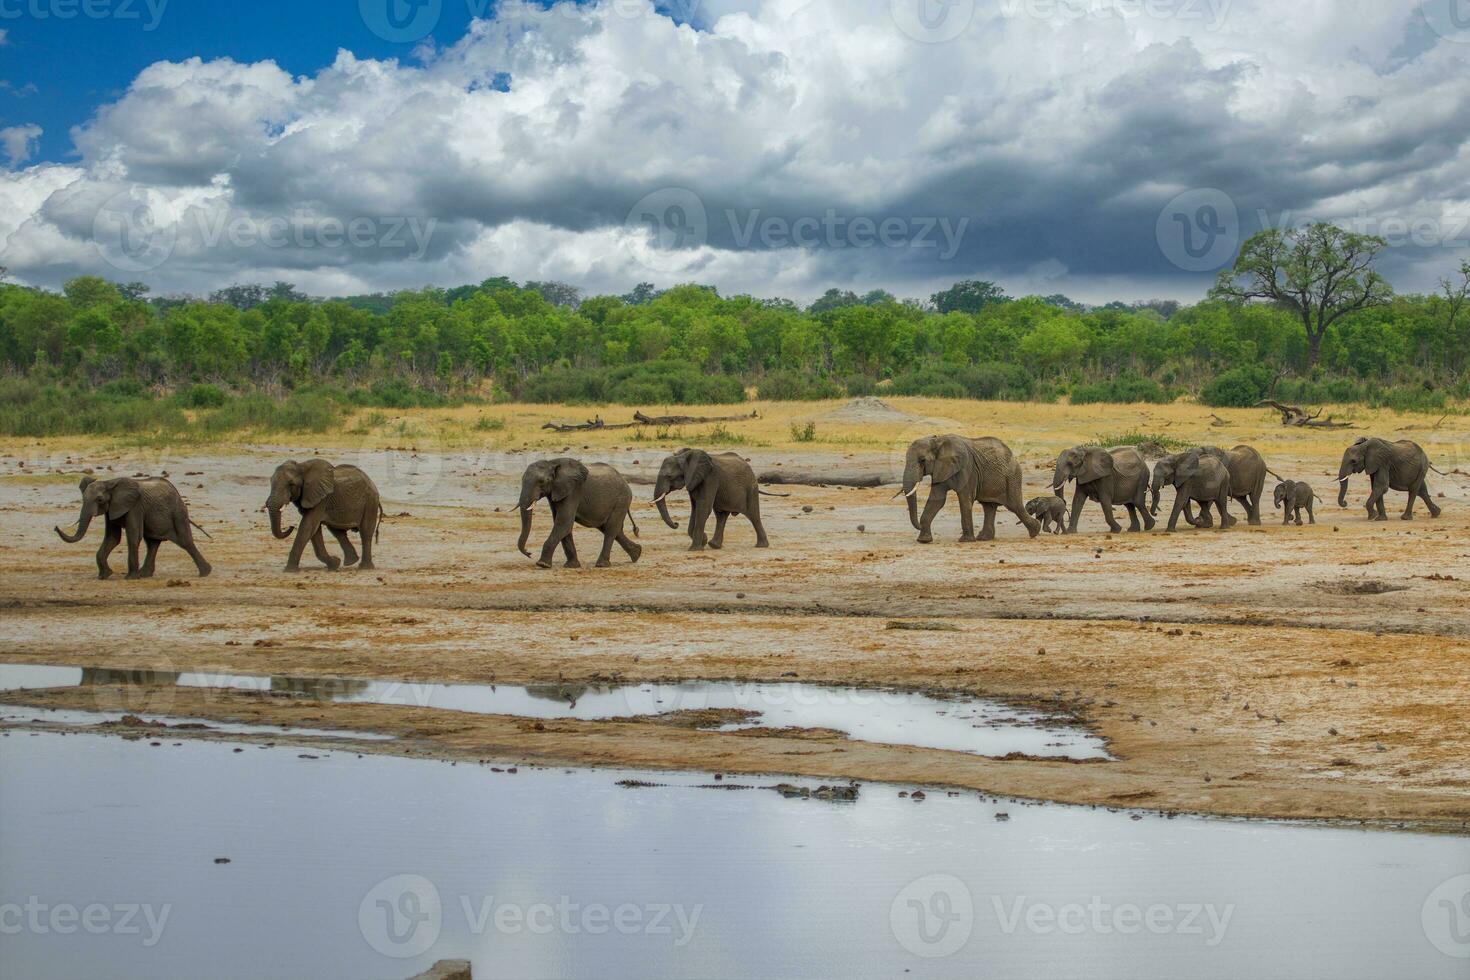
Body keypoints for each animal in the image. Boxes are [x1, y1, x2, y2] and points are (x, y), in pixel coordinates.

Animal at [893, 437, 1046, 543]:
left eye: (922, 460)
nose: (918, 525)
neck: (937, 441)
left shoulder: (967, 468)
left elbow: (965, 499)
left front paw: (965, 541)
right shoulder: (941, 469)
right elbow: (937, 500)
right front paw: (923, 541)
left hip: (1012, 477)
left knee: (1015, 506)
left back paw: (1035, 531)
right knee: (989, 506)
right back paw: (984, 538)